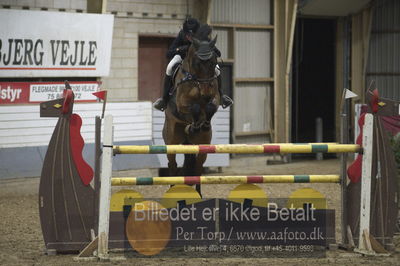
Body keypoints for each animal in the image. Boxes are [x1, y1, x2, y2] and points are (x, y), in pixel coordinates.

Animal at [161, 25, 220, 195]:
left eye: (213, 62)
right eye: (197, 63)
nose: (206, 93)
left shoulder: (215, 98)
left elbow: (210, 107)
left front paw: (203, 124)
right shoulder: (181, 104)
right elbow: (194, 107)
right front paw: (194, 124)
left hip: (202, 146)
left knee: (198, 168)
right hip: (172, 142)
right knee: (172, 166)